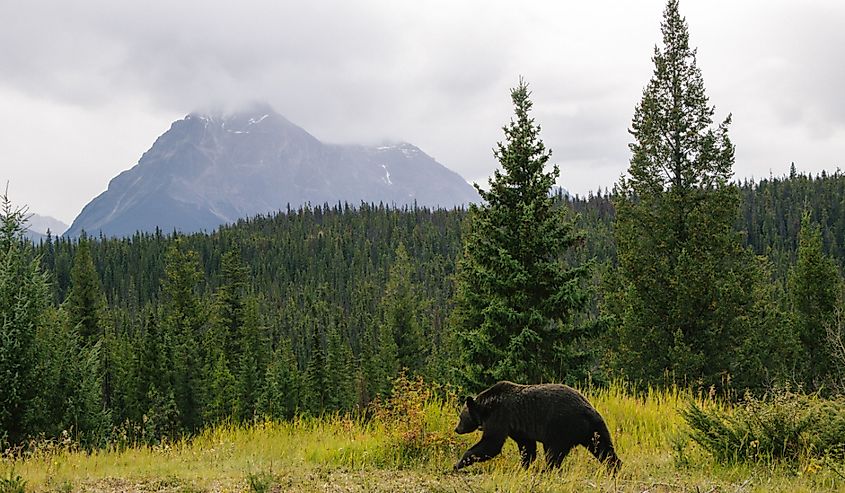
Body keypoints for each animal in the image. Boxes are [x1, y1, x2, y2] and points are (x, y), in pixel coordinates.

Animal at [452, 380, 624, 468]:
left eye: (460, 417)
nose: (456, 429)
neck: (486, 407)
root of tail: (586, 409)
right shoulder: (519, 427)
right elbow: (527, 446)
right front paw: (524, 464)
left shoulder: (500, 417)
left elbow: (491, 444)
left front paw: (458, 463)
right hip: (593, 428)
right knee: (603, 447)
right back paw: (615, 467)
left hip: (561, 428)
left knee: (553, 453)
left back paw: (547, 470)